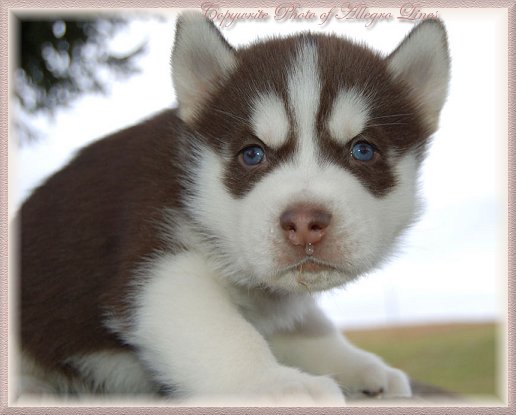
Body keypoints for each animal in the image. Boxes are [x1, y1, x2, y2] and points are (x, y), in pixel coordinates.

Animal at [18, 13, 450, 406]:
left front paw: (358, 365)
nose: (304, 223)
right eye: (252, 154)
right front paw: (272, 384)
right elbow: (223, 333)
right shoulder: (157, 258)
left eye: (362, 150)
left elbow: (309, 323)